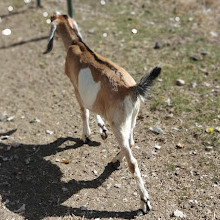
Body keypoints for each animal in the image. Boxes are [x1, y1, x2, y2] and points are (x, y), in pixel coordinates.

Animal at [43, 14, 161, 215]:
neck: (76, 43)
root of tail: (130, 89)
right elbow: (93, 107)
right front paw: (101, 129)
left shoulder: (76, 88)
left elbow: (84, 110)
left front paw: (86, 136)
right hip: (132, 119)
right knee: (130, 142)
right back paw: (114, 160)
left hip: (119, 124)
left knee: (132, 161)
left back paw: (144, 201)